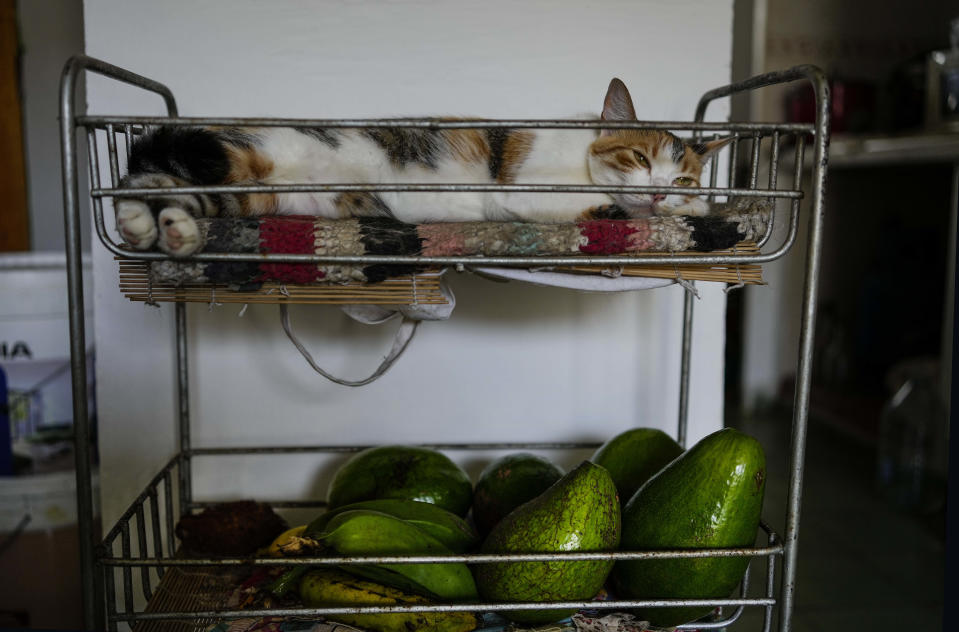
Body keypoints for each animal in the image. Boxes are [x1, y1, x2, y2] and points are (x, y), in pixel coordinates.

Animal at [114, 78, 728, 256]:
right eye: (638, 156)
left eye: (681, 178)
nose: (659, 193)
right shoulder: (518, 189)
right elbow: (576, 204)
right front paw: (616, 207)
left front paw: (694, 207)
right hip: (249, 155)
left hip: (261, 198)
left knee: (181, 195)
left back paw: (161, 228)